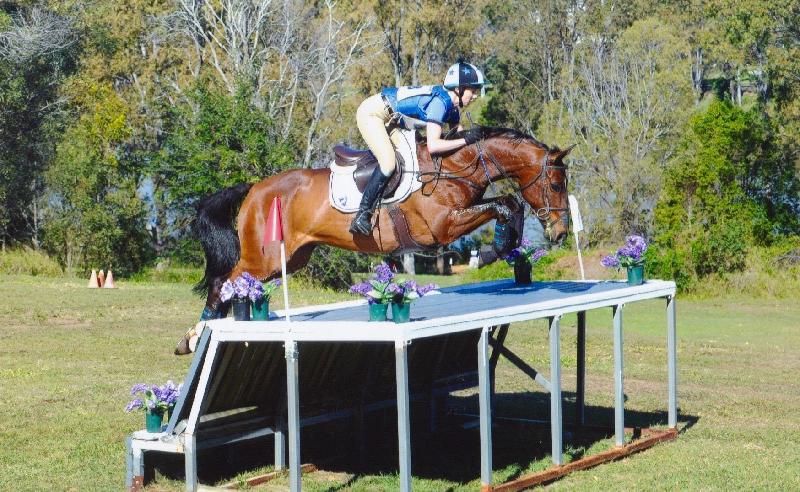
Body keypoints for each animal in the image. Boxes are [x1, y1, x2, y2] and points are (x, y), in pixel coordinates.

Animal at [175, 127, 572, 354]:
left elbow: (509, 204)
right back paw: (193, 337)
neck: (452, 165)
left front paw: (504, 247)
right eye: (556, 184)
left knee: (230, 285)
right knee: (222, 283)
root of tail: (254, 188)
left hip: (290, 259)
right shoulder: (440, 227)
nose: (561, 232)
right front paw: (495, 249)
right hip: (265, 258)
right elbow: (505, 205)